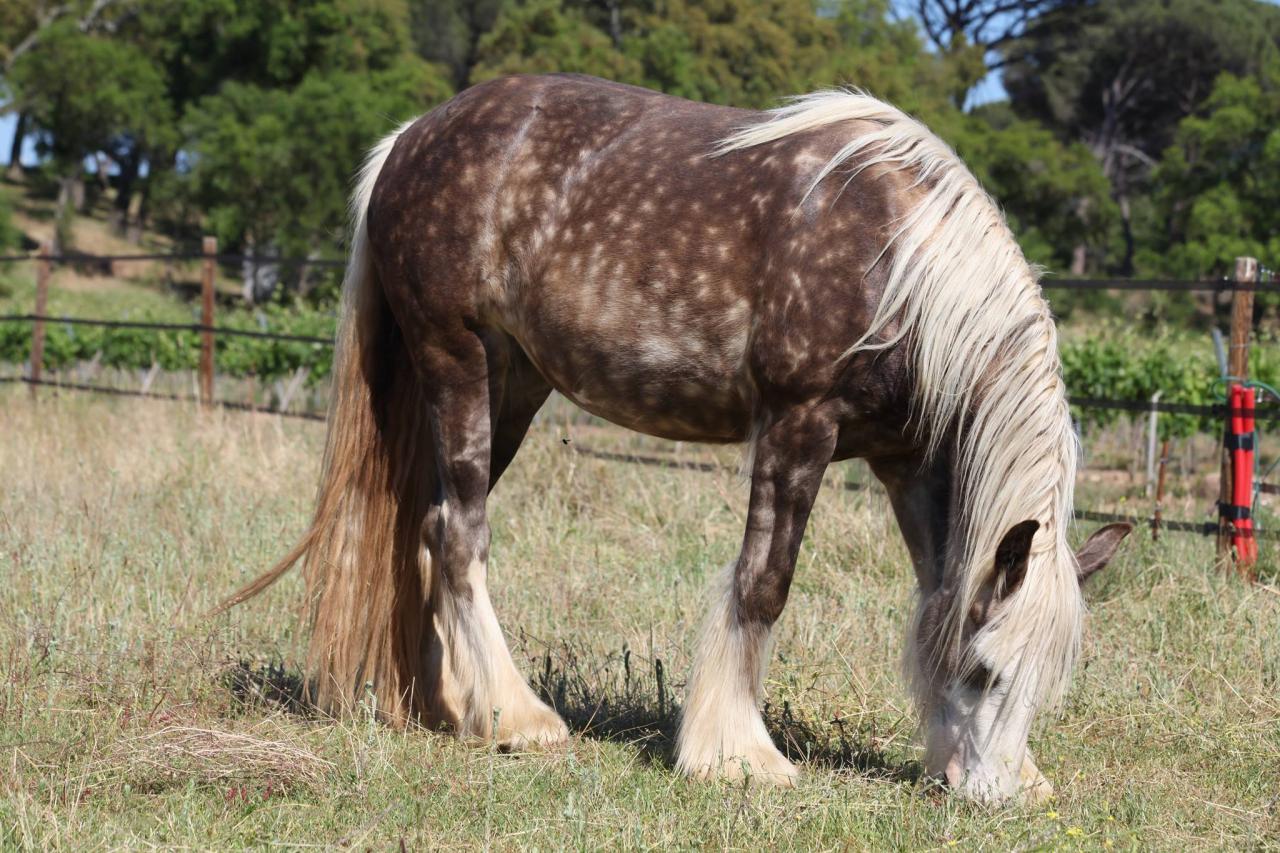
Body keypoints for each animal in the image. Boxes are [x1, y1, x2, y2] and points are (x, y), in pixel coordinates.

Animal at [220, 74, 1131, 804]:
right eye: (986, 673)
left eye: (1039, 682)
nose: (995, 795)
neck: (900, 260)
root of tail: (407, 140)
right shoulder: (798, 424)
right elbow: (763, 584)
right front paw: (737, 754)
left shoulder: (905, 460)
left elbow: (941, 592)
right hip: (457, 361)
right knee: (458, 533)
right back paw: (517, 716)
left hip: (512, 384)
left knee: (425, 529)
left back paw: (446, 706)